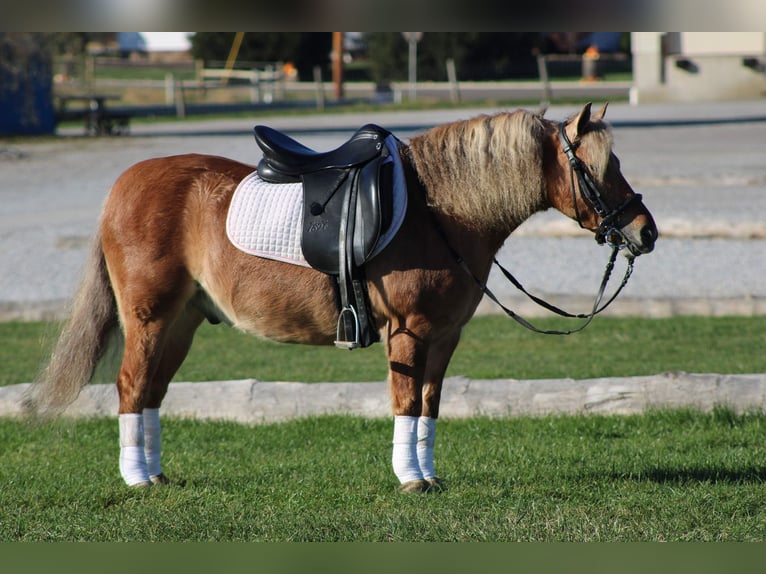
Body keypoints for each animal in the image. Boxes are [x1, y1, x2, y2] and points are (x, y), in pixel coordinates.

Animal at [28, 103, 657, 493]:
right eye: (600, 168)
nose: (645, 232)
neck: (440, 211)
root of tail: (122, 185)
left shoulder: (444, 336)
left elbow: (429, 405)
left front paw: (428, 475)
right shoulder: (408, 330)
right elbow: (404, 402)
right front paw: (410, 480)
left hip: (181, 323)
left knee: (153, 391)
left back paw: (155, 474)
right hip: (150, 317)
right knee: (131, 386)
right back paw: (136, 479)